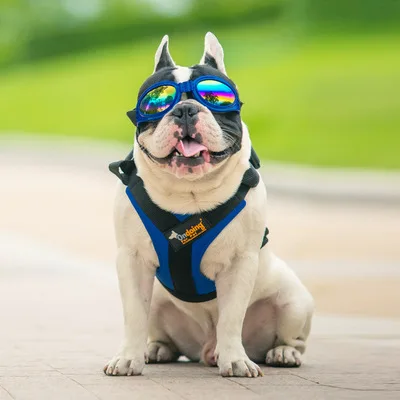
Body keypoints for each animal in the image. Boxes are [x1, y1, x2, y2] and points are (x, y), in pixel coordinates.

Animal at [104, 32, 312, 378]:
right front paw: (127, 358)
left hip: (293, 301)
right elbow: (134, 315)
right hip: (160, 300)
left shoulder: (240, 264)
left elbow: (231, 318)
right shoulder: (132, 260)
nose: (186, 109)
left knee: (291, 337)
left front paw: (236, 360)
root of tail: (204, 348)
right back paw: (155, 349)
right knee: (157, 327)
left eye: (215, 97)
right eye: (157, 102)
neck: (190, 192)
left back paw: (281, 353)